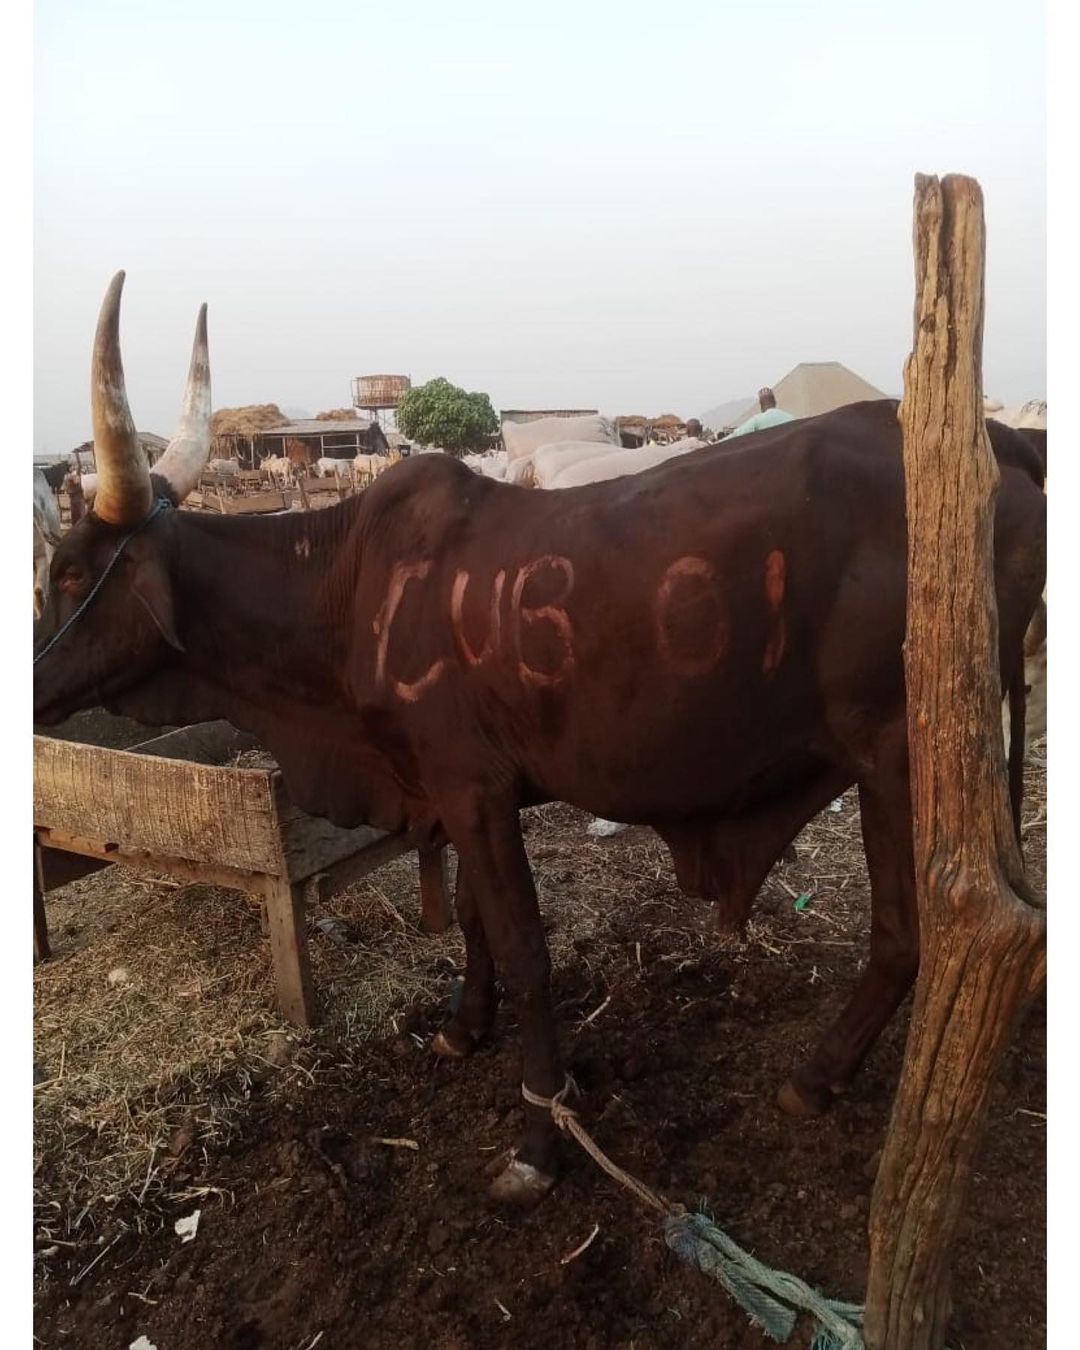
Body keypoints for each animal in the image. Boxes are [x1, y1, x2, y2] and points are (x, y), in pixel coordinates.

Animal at [34, 274, 1046, 1210]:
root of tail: (1002, 441)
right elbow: (475, 917)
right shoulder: (458, 794)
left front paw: (538, 1136)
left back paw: (817, 1076)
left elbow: (525, 946)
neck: (346, 588)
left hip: (898, 753)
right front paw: (461, 1027)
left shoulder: (470, 786)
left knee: (908, 932)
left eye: (70, 571)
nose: (31, 689)